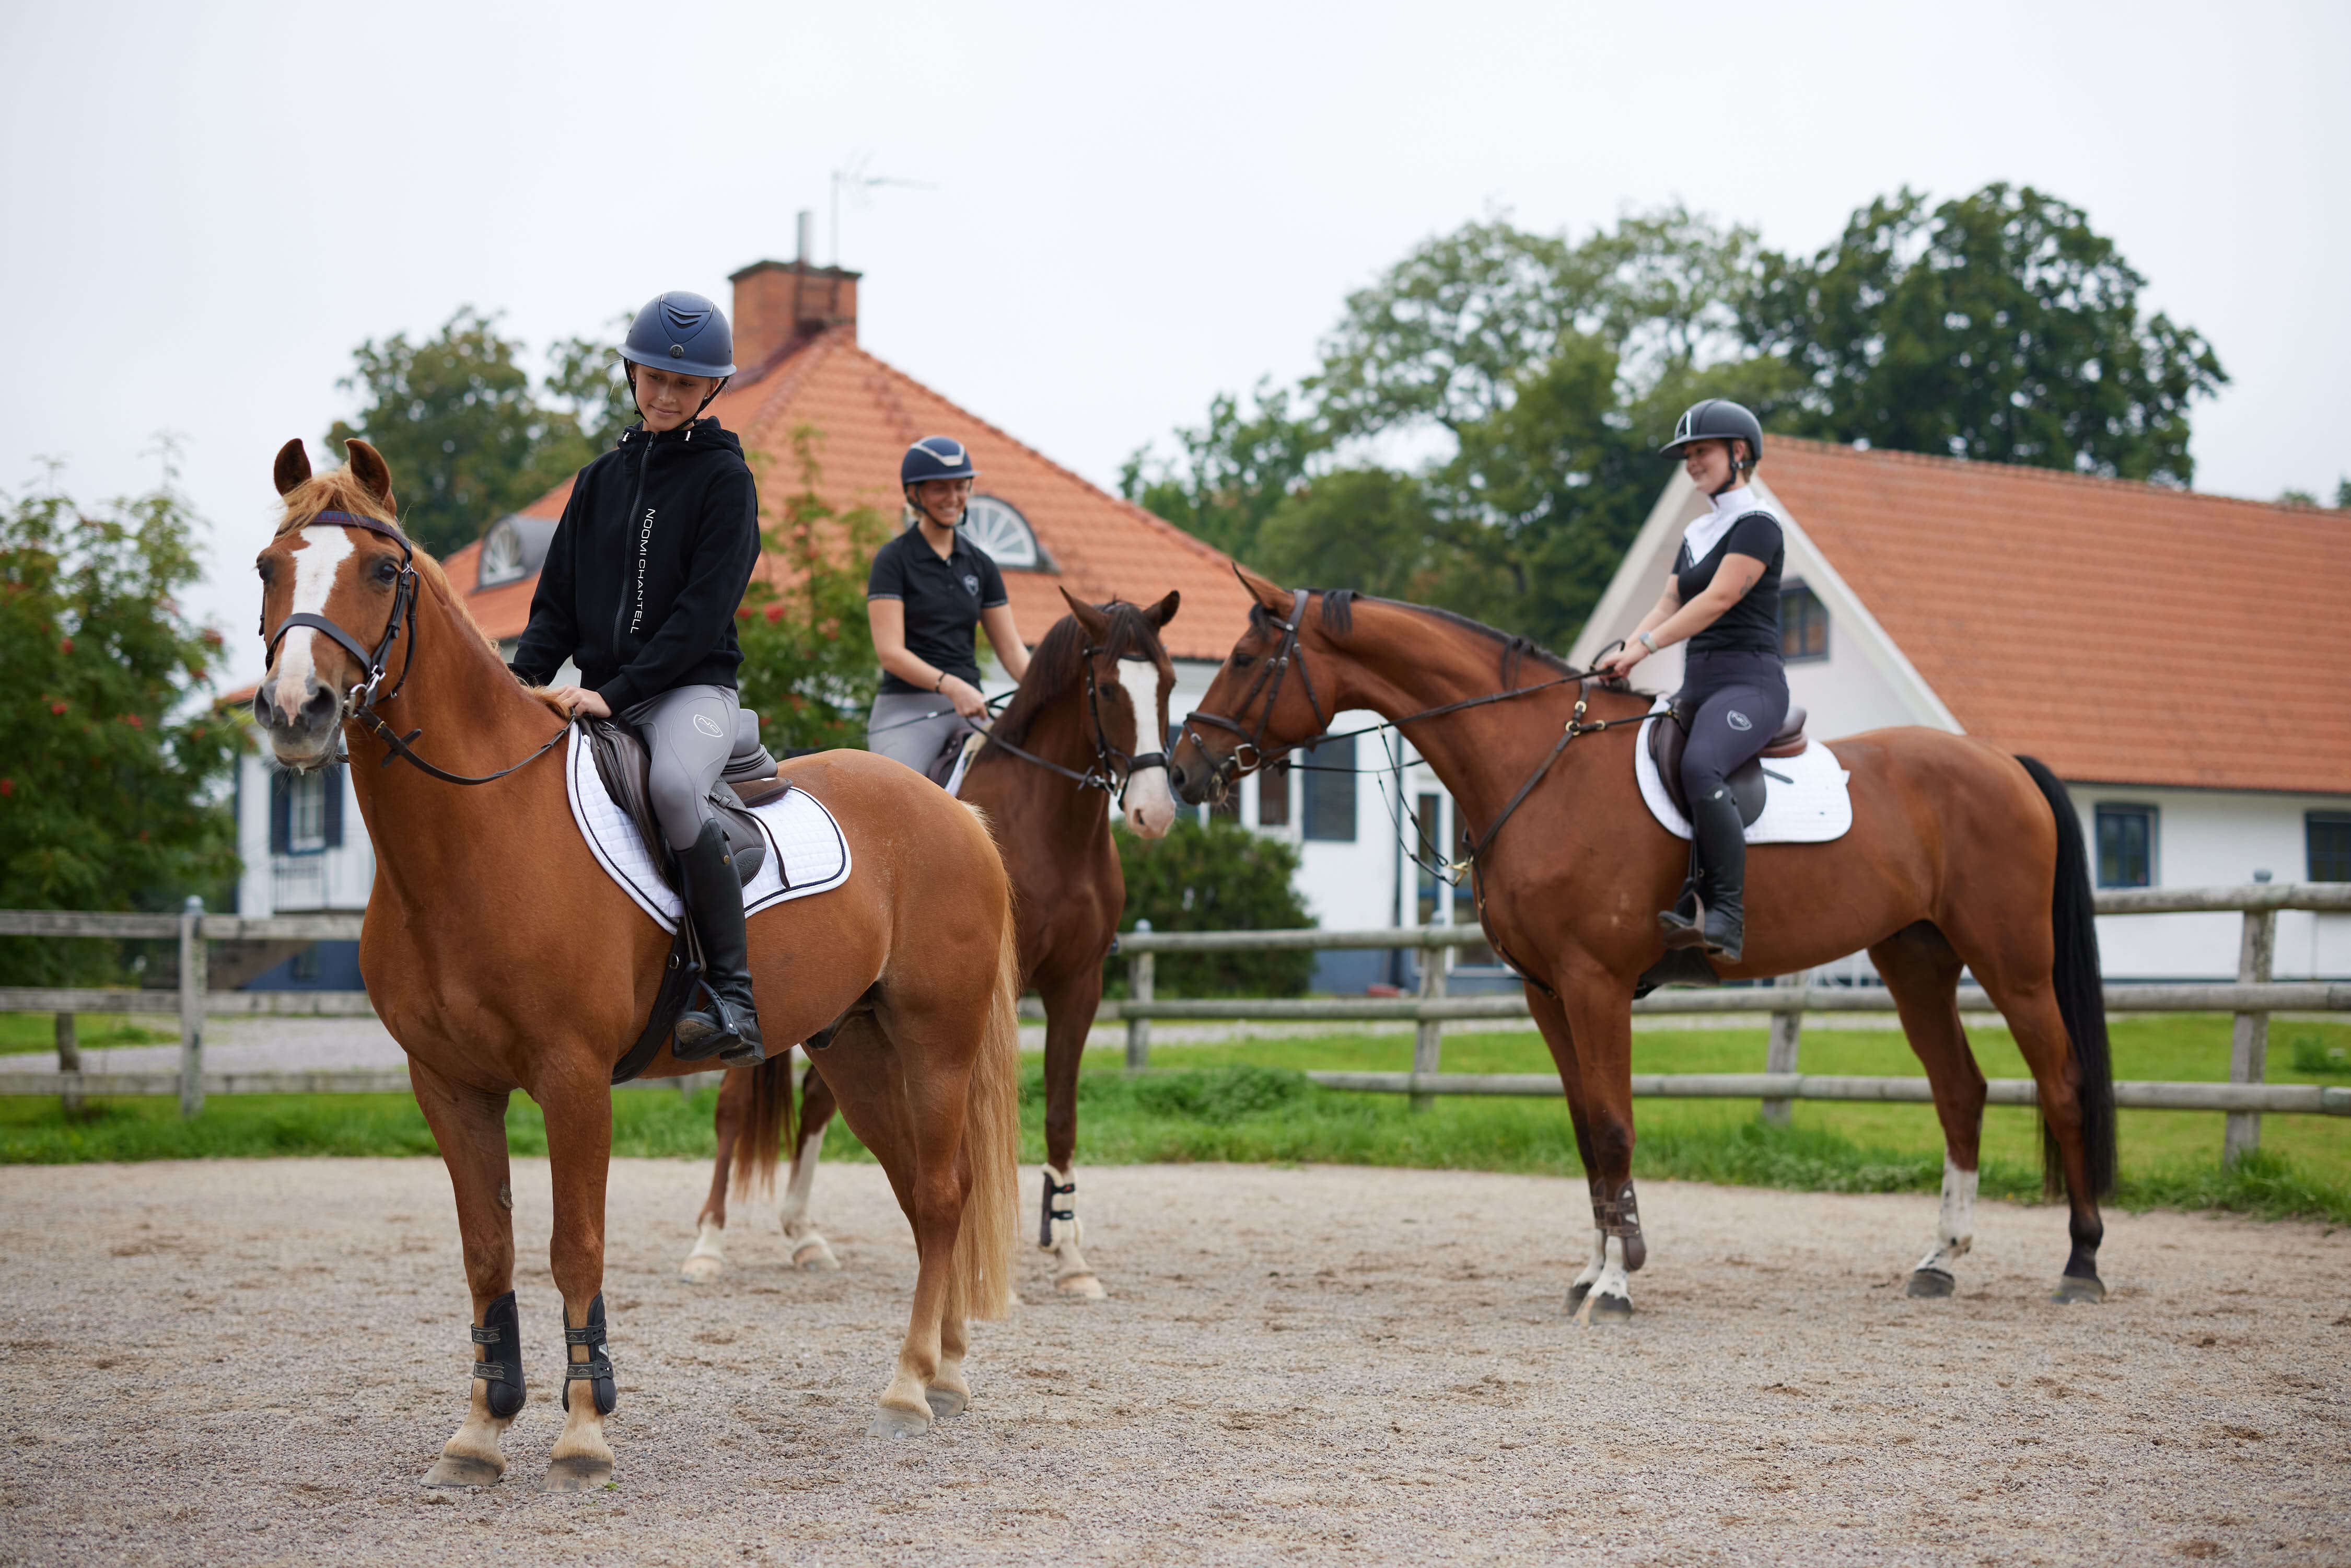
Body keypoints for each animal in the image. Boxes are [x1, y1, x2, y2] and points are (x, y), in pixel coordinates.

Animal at [255, 435, 1020, 1495]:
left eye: (379, 570)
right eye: (267, 567)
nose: (297, 709)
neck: (479, 830)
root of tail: (956, 813)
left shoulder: (574, 1080)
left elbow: (574, 1247)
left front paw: (583, 1430)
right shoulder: (448, 1084)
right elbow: (488, 1253)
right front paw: (481, 1429)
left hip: (935, 1042)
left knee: (944, 1197)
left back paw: (909, 1386)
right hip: (859, 1052)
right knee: (927, 1195)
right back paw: (945, 1371)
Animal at [686, 587, 1185, 1297]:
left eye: (1168, 683)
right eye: (1110, 688)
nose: (1154, 811)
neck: (1052, 827)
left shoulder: (1077, 985)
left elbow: (1061, 1115)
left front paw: (1070, 1257)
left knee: (816, 1102)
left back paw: (806, 1235)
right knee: (733, 1107)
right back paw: (708, 1243)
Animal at [1166, 571, 2125, 1316]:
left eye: (1244, 660)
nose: (1182, 771)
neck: (1539, 767)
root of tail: (2002, 762)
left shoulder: (1595, 984)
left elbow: (1614, 1125)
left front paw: (1618, 1285)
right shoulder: (1546, 992)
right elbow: (1587, 1130)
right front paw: (1594, 1268)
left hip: (2012, 962)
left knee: (2062, 1082)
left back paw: (2081, 1262)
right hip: (1915, 958)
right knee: (1961, 1091)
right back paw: (1938, 1261)